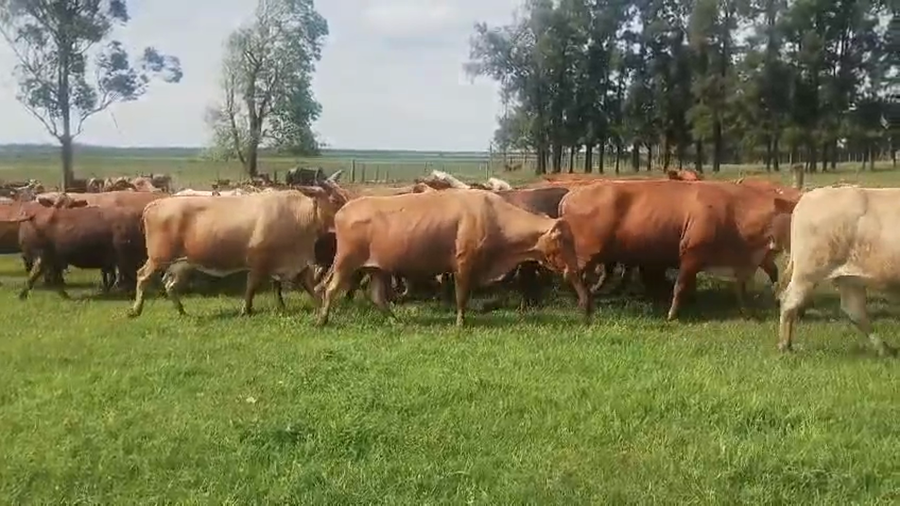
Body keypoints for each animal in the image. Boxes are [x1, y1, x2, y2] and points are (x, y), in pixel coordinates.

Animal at [128, 187, 344, 318]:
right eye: (334, 199)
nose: (345, 212)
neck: (297, 215)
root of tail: (155, 204)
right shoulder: (259, 260)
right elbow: (251, 286)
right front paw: (245, 309)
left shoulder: (297, 264)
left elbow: (311, 287)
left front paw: (322, 307)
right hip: (159, 257)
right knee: (142, 276)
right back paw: (136, 309)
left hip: (183, 263)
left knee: (170, 285)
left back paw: (182, 311)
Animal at [314, 189, 590, 327]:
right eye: (565, 242)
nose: (575, 269)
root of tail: (343, 209)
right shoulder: (463, 265)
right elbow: (462, 297)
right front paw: (460, 323)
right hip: (346, 262)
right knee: (330, 288)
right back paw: (322, 320)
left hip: (377, 269)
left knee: (377, 297)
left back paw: (396, 320)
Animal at [560, 179, 795, 320]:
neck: (734, 212)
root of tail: (571, 194)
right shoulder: (691, 256)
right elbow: (680, 286)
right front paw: (673, 314)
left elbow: (744, 284)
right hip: (588, 253)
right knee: (573, 274)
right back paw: (586, 304)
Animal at [777, 186, 899, 356]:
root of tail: (807, 197)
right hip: (808, 273)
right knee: (789, 302)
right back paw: (784, 346)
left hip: (849, 278)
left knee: (855, 311)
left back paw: (884, 348)